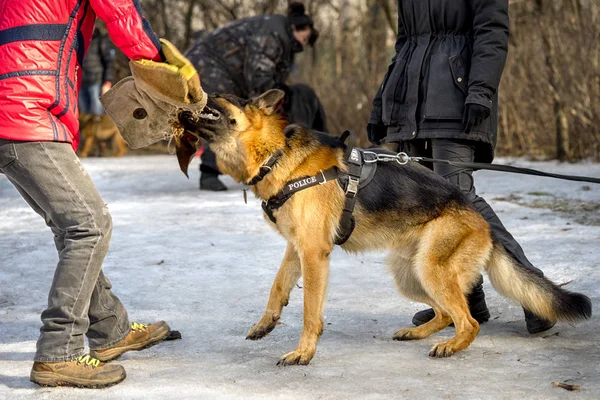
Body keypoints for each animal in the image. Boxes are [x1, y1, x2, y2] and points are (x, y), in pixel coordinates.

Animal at [173, 90, 592, 366]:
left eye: (225, 96)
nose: (194, 93)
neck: (276, 156)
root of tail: (479, 218)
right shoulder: (297, 247)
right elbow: (277, 286)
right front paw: (265, 324)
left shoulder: (314, 254)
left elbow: (310, 311)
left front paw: (304, 352)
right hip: (410, 274)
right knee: (445, 314)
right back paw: (419, 332)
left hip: (431, 269)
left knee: (469, 321)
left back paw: (451, 346)